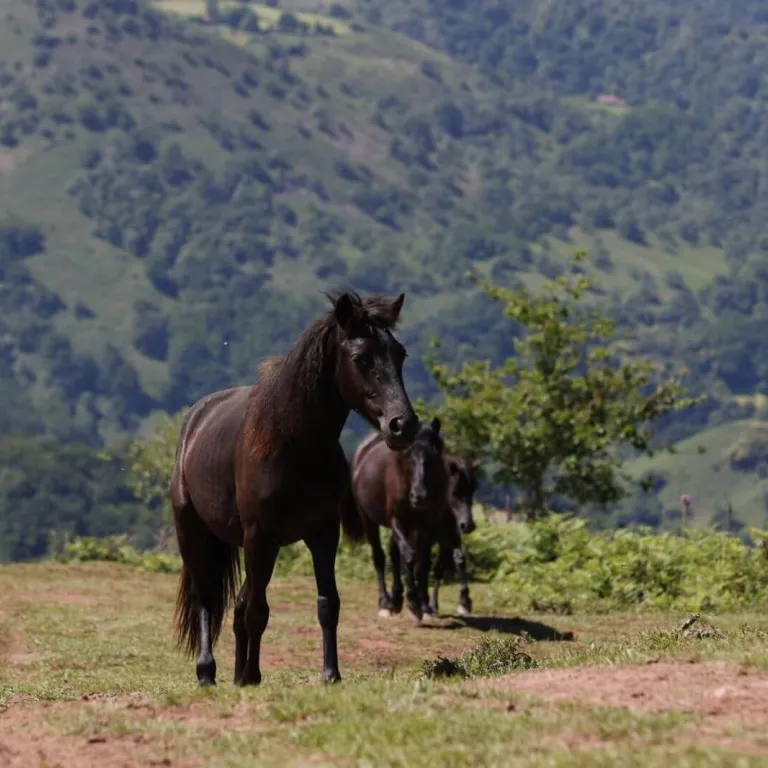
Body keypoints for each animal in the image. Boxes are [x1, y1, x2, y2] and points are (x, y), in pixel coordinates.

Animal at [169, 292, 419, 687]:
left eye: (400, 354)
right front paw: (252, 676)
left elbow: (327, 604)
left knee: (237, 604)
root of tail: (196, 420)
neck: (293, 446)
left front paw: (331, 674)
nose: (402, 426)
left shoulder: (323, 534)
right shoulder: (260, 537)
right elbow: (258, 611)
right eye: (360, 358)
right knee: (208, 598)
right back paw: (208, 672)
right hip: (195, 534)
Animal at [343, 417, 449, 623]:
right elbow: (409, 556)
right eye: (407, 454)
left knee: (393, 553)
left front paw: (424, 606)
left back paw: (396, 598)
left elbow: (422, 563)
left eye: (433, 455)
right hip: (368, 519)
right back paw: (385, 603)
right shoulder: (397, 520)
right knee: (379, 557)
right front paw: (413, 603)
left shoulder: (426, 524)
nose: (419, 497)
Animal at [424, 456, 479, 618]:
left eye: (473, 490)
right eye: (454, 492)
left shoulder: (449, 539)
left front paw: (464, 602)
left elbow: (457, 560)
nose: (468, 525)